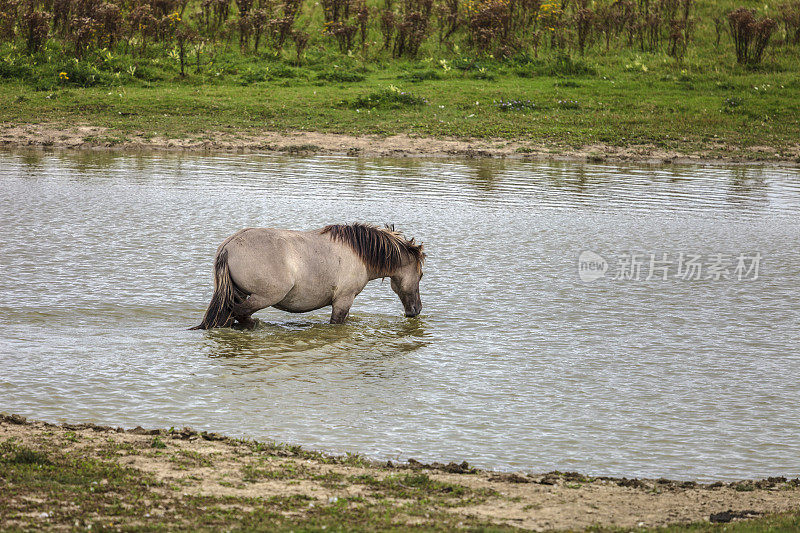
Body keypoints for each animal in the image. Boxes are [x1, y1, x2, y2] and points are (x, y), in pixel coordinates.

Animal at [191, 221, 424, 328]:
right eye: (421, 275)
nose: (416, 310)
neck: (358, 253)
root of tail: (228, 246)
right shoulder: (343, 300)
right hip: (263, 297)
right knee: (240, 314)